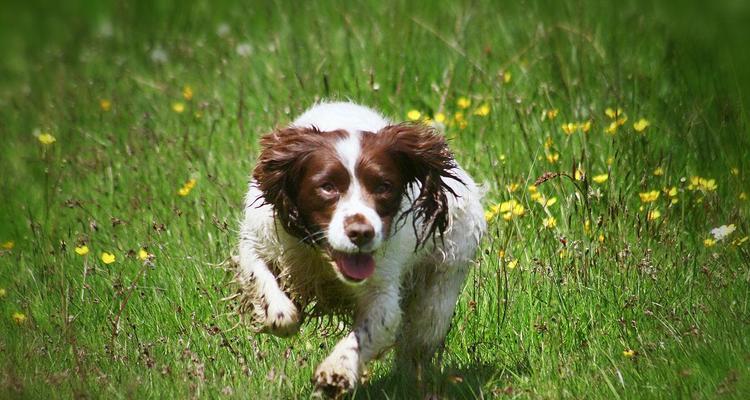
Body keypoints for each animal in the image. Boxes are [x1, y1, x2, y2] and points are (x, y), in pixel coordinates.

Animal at [239, 101, 488, 396]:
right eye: (327, 187)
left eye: (383, 186)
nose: (361, 232)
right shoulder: (259, 238)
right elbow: (263, 281)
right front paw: (281, 314)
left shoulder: (382, 290)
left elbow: (371, 329)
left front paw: (337, 372)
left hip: (438, 293)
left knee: (418, 342)